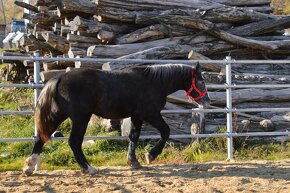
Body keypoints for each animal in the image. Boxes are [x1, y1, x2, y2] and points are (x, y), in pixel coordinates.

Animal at [22, 62, 208, 176]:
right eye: (201, 81)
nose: (206, 101)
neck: (154, 82)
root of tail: (59, 78)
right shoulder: (150, 113)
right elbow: (165, 131)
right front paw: (151, 155)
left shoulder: (137, 116)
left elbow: (133, 137)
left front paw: (133, 161)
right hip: (81, 118)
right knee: (74, 142)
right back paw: (88, 168)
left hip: (58, 115)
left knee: (41, 138)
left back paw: (29, 167)